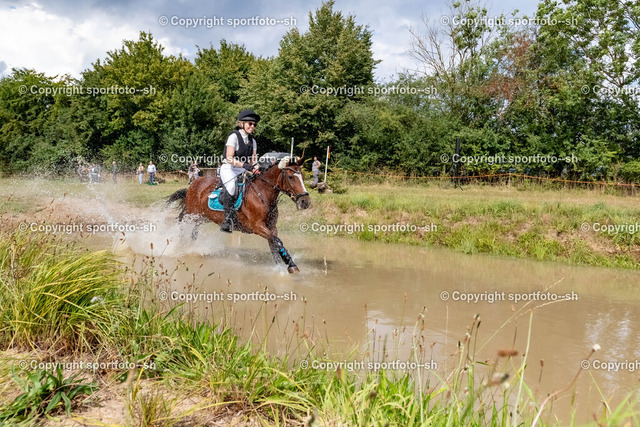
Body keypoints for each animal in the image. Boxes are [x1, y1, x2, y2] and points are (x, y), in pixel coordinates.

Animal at [167, 155, 310, 273]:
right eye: (291, 177)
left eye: (303, 177)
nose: (305, 202)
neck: (262, 194)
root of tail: (194, 183)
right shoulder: (257, 227)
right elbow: (277, 241)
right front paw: (290, 265)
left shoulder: (271, 227)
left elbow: (274, 243)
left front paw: (282, 265)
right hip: (191, 214)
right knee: (181, 224)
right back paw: (180, 246)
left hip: (203, 217)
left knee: (194, 231)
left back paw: (193, 247)